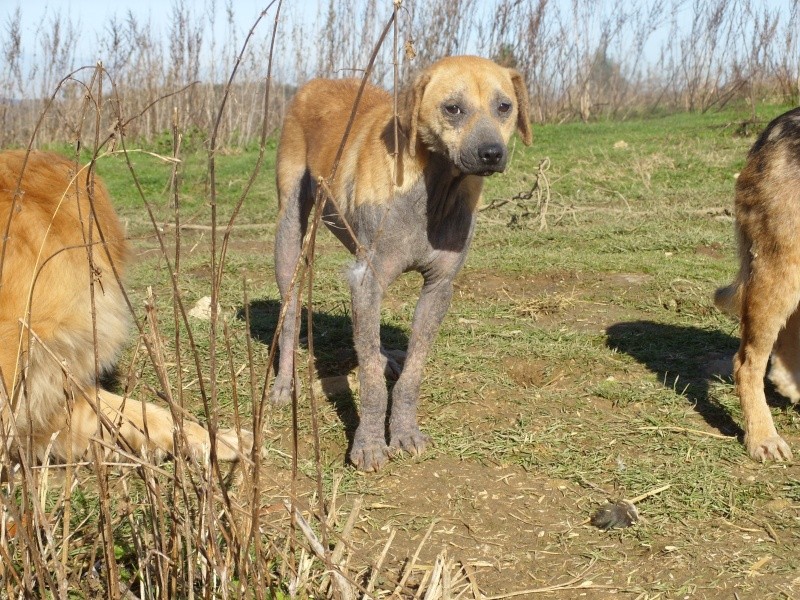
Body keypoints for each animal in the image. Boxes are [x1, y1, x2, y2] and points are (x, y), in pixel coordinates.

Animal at [274, 56, 532, 472]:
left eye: (504, 106)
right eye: (452, 108)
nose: (492, 153)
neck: (434, 188)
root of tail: (316, 82)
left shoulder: (438, 288)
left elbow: (412, 373)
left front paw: (405, 431)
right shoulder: (367, 280)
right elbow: (372, 384)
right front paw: (368, 444)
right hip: (289, 237)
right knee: (291, 314)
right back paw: (284, 382)